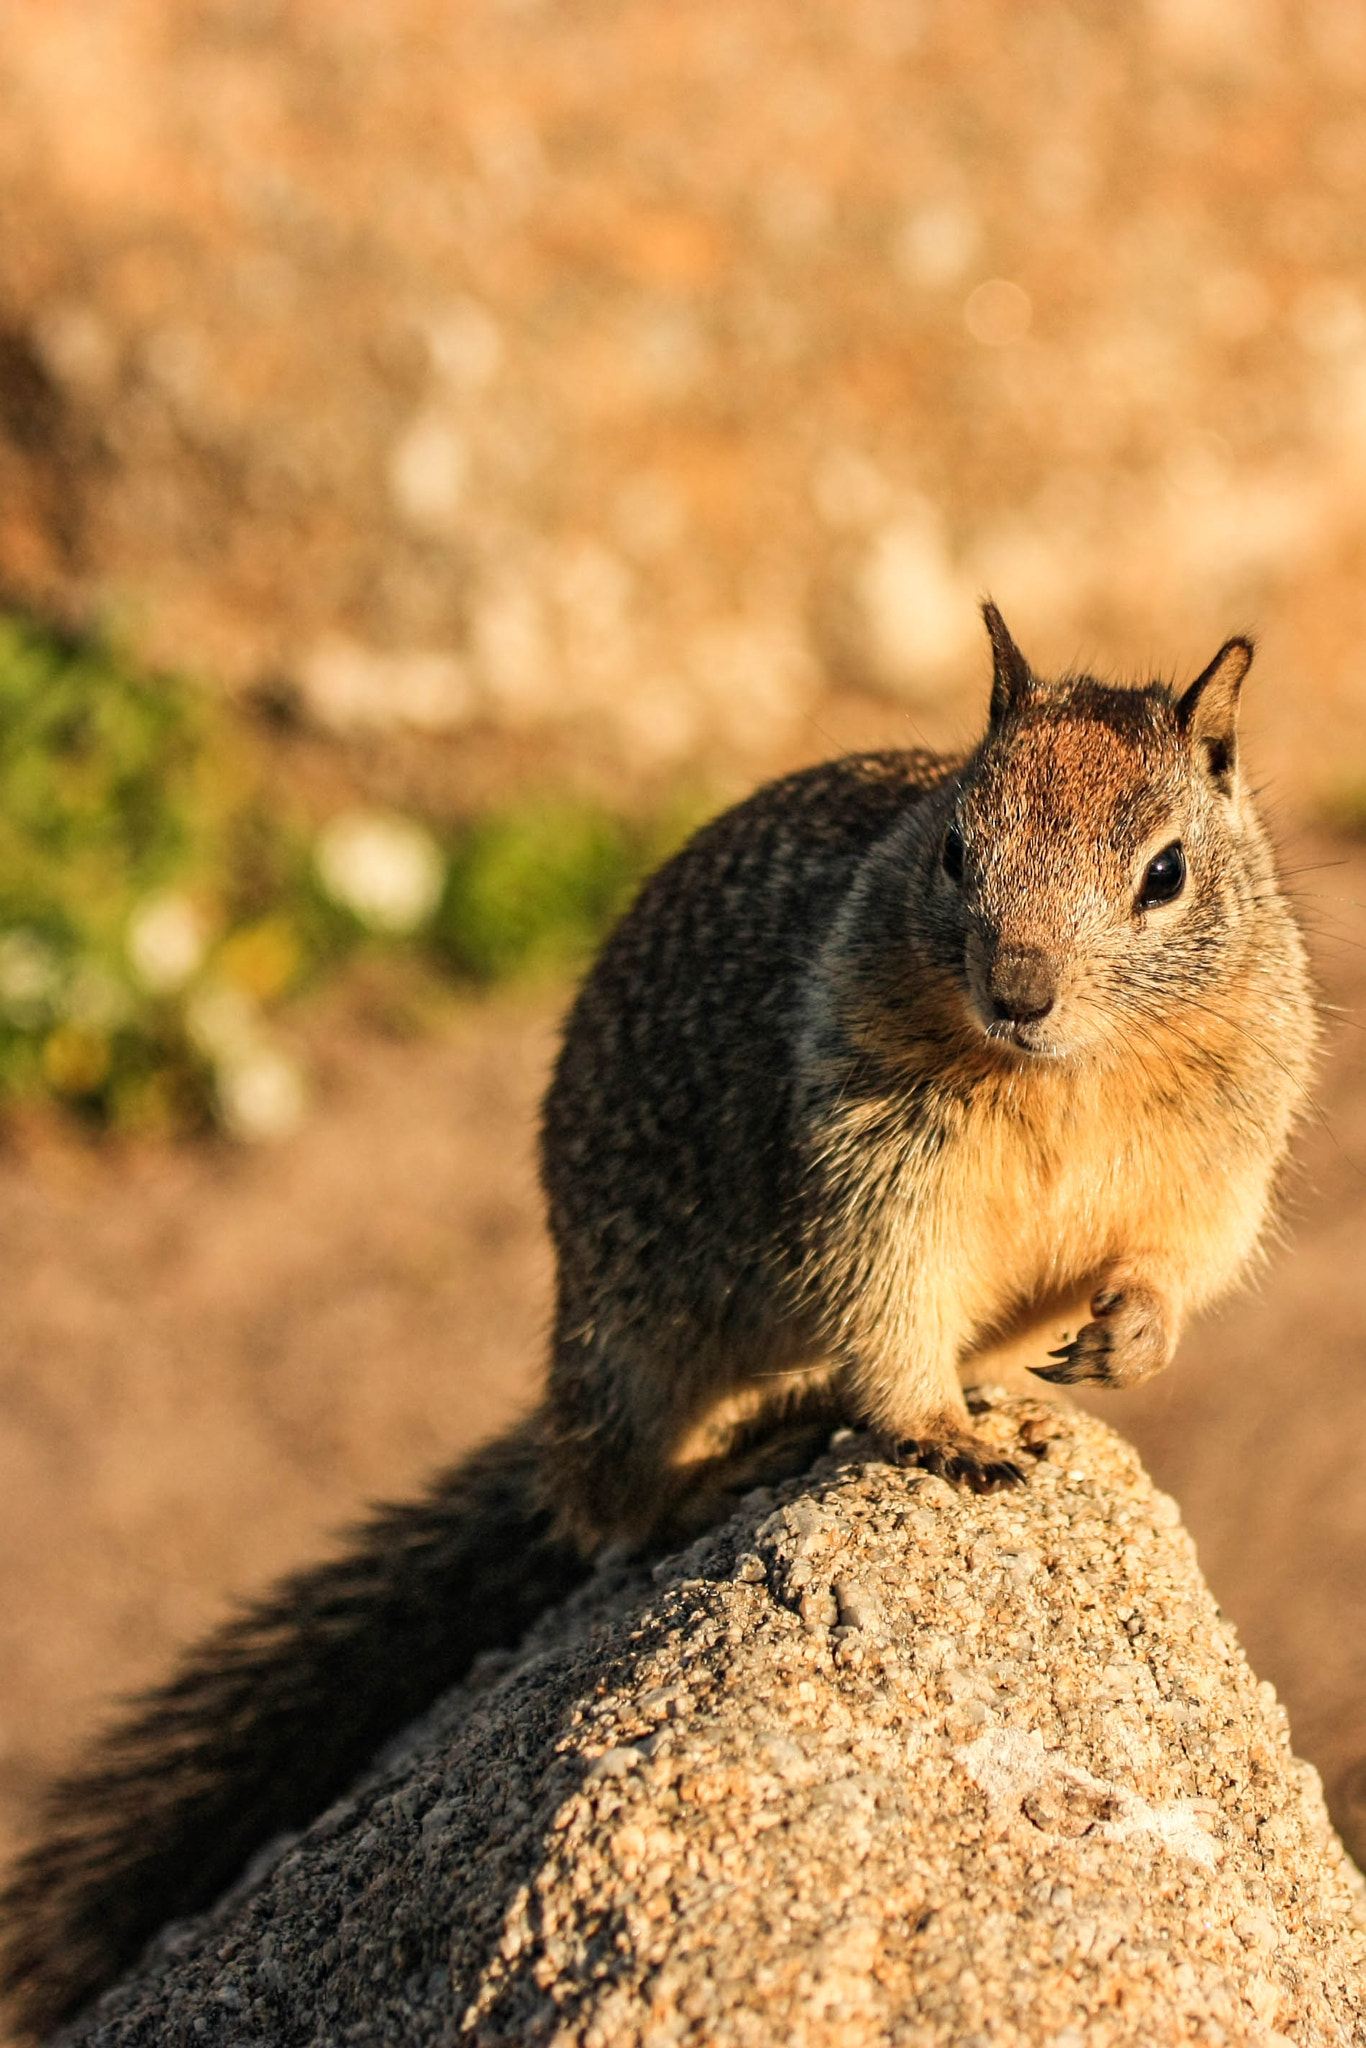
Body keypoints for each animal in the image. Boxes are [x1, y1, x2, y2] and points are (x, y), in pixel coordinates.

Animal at [0, 604, 1316, 2036]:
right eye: (957, 848)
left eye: (1165, 873)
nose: (1017, 988)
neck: (1061, 1073)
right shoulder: (873, 1155)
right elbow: (887, 1297)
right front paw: (940, 1431)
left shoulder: (1218, 1150)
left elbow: (1182, 1256)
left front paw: (1128, 1335)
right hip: (627, 1348)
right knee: (606, 1504)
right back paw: (718, 1470)